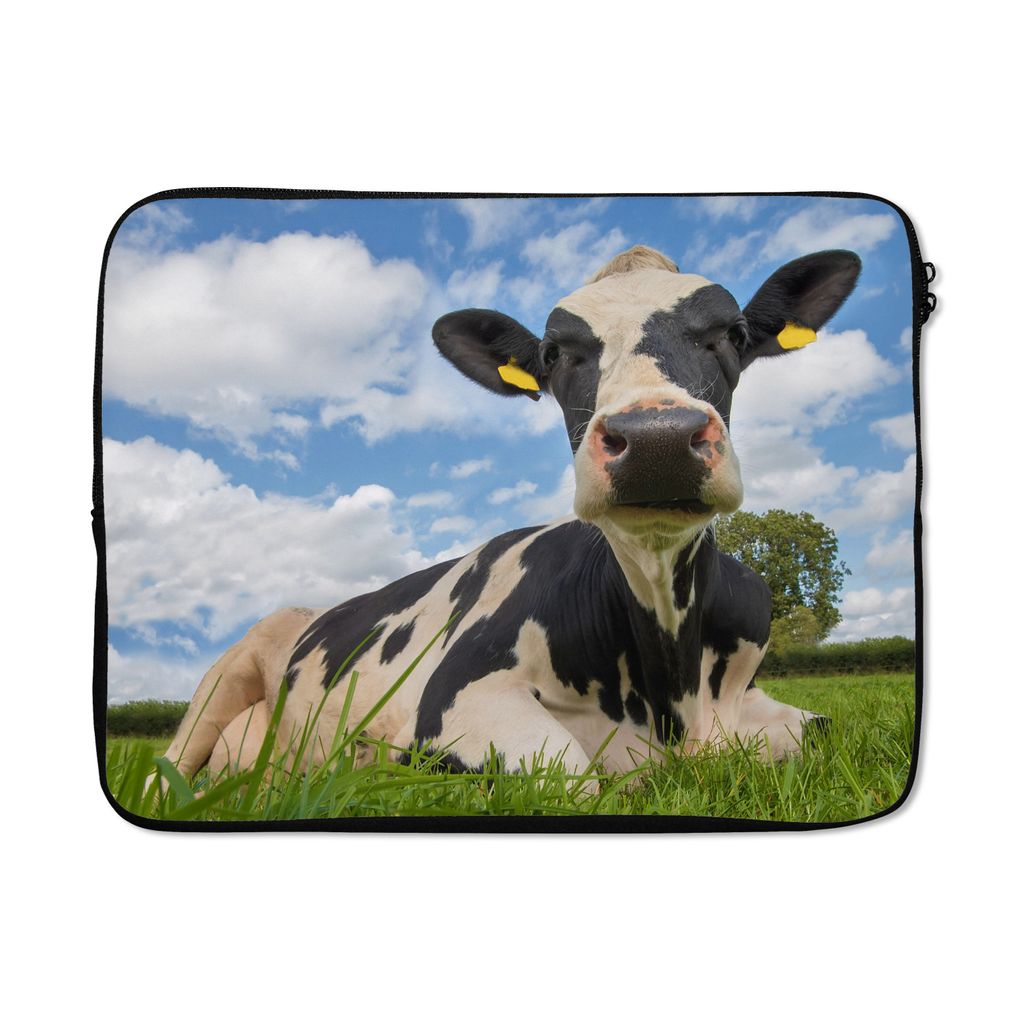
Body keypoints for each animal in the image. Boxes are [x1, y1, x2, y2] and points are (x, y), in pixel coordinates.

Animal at [161, 243, 861, 787]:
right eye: (553, 354)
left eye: (734, 335)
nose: (656, 438)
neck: (674, 688)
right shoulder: (453, 701)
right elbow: (573, 777)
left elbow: (828, 732)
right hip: (220, 684)